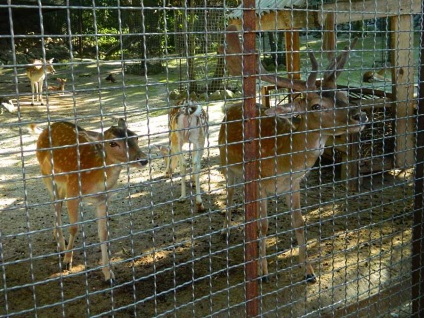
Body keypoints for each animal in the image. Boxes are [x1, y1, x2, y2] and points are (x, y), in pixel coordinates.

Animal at [35, 118, 150, 280]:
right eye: (112, 143)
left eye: (135, 137)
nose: (143, 160)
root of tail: (46, 128)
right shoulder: (73, 192)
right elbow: (74, 227)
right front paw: (67, 261)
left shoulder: (103, 200)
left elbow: (104, 234)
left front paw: (108, 273)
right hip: (47, 176)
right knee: (55, 205)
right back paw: (61, 246)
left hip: (62, 185)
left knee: (58, 205)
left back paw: (56, 236)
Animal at [219, 25, 368, 284]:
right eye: (316, 106)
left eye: (344, 96)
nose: (360, 116)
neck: (284, 161)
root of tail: (232, 108)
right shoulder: (260, 183)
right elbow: (263, 226)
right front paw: (263, 272)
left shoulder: (294, 184)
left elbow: (299, 223)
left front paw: (309, 271)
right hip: (226, 164)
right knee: (228, 194)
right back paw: (226, 229)